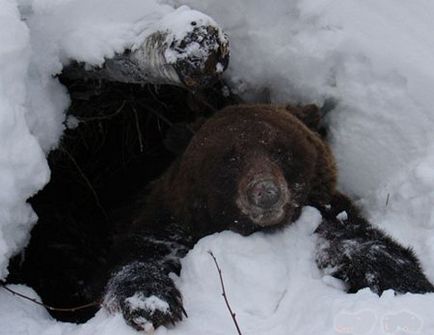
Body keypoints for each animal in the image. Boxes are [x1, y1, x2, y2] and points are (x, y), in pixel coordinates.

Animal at [102, 103, 434, 332]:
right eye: (230, 156)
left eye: (280, 150)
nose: (266, 192)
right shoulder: (169, 224)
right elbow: (143, 256)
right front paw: (151, 304)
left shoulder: (326, 216)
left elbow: (363, 245)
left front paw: (408, 282)